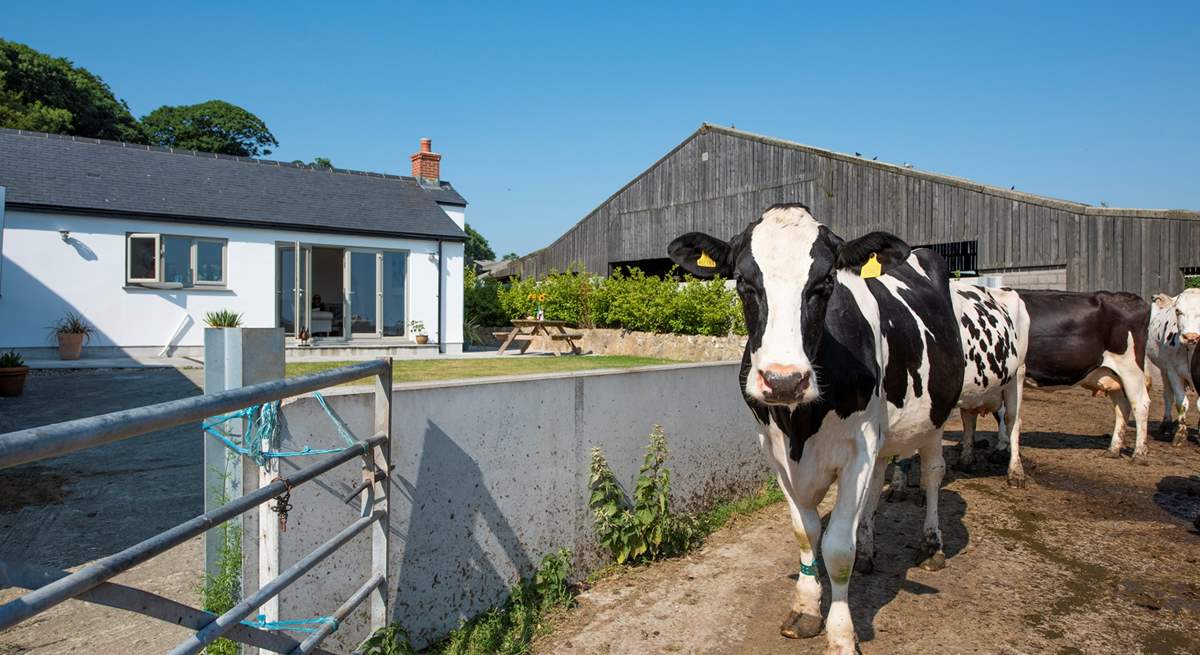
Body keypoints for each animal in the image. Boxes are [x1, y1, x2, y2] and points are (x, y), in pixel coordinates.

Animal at [667, 203, 964, 652]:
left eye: (824, 283)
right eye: (743, 282)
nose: (783, 380)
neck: (800, 425)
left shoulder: (859, 445)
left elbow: (837, 546)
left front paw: (841, 634)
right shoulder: (774, 449)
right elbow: (806, 533)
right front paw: (806, 609)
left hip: (935, 418)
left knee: (932, 474)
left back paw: (931, 547)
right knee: (876, 486)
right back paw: (869, 550)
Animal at [1142, 289, 1200, 443]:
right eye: (1178, 310)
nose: (1191, 337)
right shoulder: (1173, 371)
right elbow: (1181, 402)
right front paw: (1180, 432)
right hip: (1164, 369)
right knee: (1168, 395)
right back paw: (1167, 424)